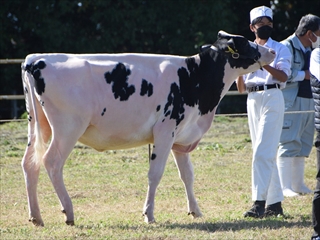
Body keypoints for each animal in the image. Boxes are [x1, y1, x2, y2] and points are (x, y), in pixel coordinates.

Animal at [21, 31, 276, 226]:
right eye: (244, 42)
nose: (272, 52)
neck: (193, 76)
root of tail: (36, 58)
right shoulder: (165, 131)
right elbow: (155, 174)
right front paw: (149, 215)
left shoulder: (180, 137)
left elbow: (188, 175)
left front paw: (195, 210)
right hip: (68, 127)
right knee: (52, 162)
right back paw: (69, 212)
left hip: (37, 124)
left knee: (29, 163)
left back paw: (36, 217)